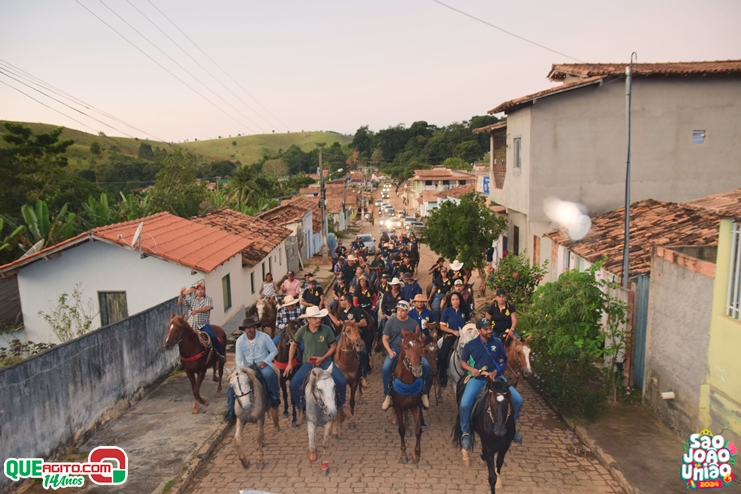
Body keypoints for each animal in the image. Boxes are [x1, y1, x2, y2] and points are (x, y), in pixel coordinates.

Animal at [390, 332, 424, 464]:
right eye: (405, 348)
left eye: (421, 347)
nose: (417, 370)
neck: (408, 383)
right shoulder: (398, 407)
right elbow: (401, 430)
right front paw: (404, 454)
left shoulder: (416, 406)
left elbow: (418, 430)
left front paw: (416, 454)